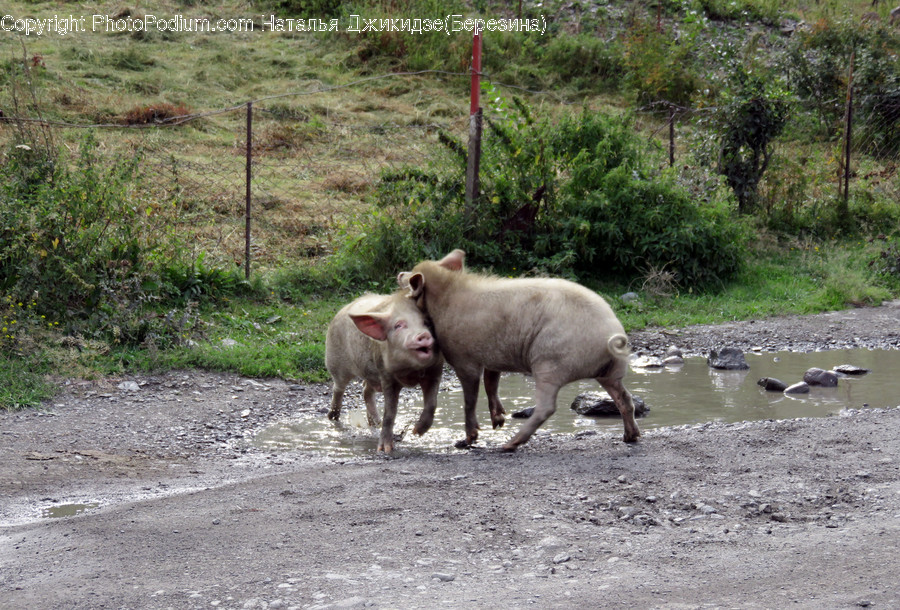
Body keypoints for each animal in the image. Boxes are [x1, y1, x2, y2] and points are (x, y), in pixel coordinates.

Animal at [325, 291, 444, 453]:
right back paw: (333, 417)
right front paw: (385, 449)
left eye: (427, 323)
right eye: (398, 325)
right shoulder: (386, 376)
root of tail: (342, 310)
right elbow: (390, 412)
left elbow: (432, 404)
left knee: (366, 390)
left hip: (371, 375)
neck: (411, 372)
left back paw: (376, 423)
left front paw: (417, 432)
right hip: (336, 361)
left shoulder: (434, 373)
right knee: (338, 388)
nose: (423, 335)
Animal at [399, 249, 640, 451]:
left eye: (411, 277)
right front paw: (498, 421)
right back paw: (630, 437)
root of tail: (611, 334)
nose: (400, 273)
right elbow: (491, 383)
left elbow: (470, 398)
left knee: (546, 407)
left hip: (550, 363)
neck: (444, 299)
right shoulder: (492, 356)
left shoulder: (463, 358)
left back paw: (508, 445)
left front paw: (469, 439)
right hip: (611, 371)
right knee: (624, 398)